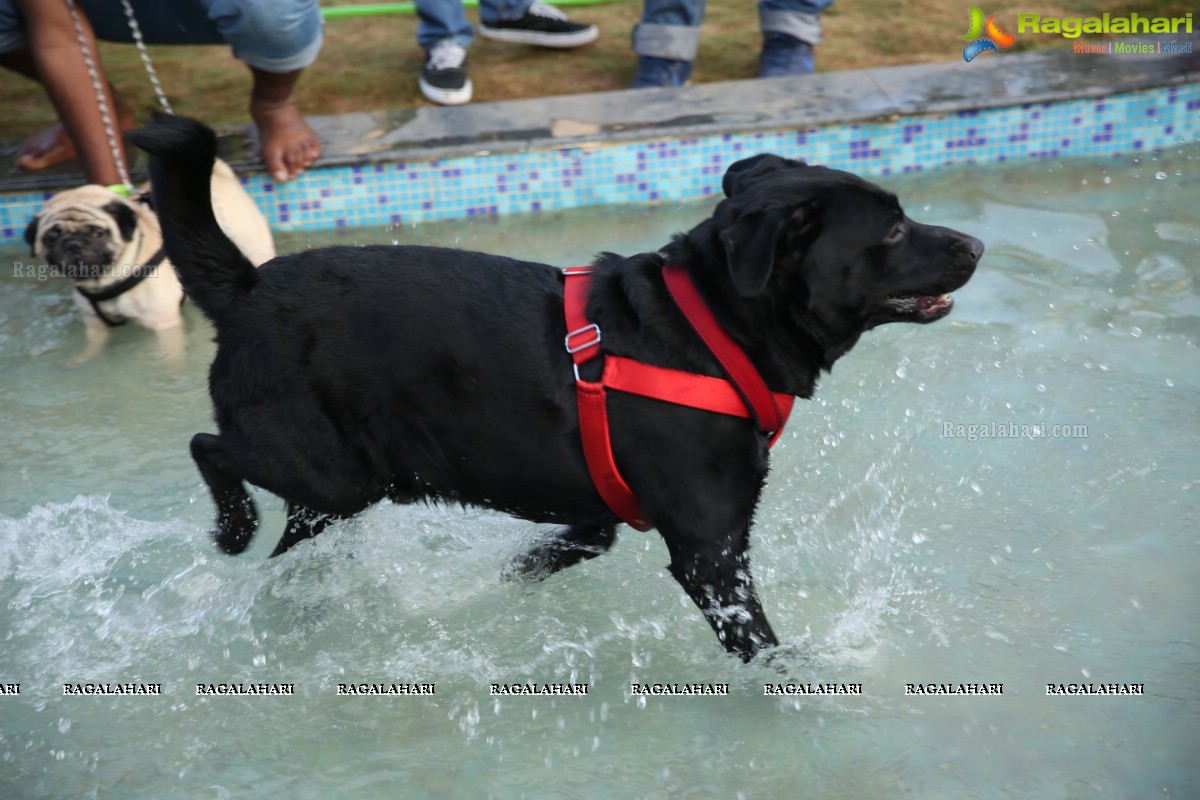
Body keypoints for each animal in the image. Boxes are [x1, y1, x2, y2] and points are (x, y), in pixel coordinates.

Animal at [25, 159, 274, 367]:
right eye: (51, 237)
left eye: (97, 233)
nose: (72, 243)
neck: (105, 280)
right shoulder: (95, 324)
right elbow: (94, 345)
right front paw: (84, 359)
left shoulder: (164, 324)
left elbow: (169, 353)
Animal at [131, 113, 979, 662]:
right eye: (893, 230)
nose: (973, 243)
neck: (708, 328)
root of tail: (247, 286)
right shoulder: (710, 548)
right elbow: (762, 644)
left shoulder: (595, 515)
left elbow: (550, 552)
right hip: (329, 471)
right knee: (209, 447)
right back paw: (231, 528)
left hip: (335, 496)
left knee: (289, 553)